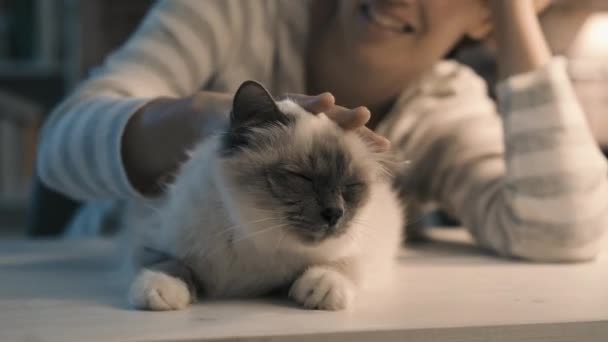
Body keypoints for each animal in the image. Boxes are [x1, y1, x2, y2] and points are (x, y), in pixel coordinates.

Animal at [127, 81, 404, 312]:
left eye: (351, 186)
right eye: (302, 177)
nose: (335, 213)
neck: (258, 239)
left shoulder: (369, 249)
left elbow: (344, 265)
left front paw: (322, 287)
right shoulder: (148, 237)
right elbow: (169, 262)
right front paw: (162, 288)